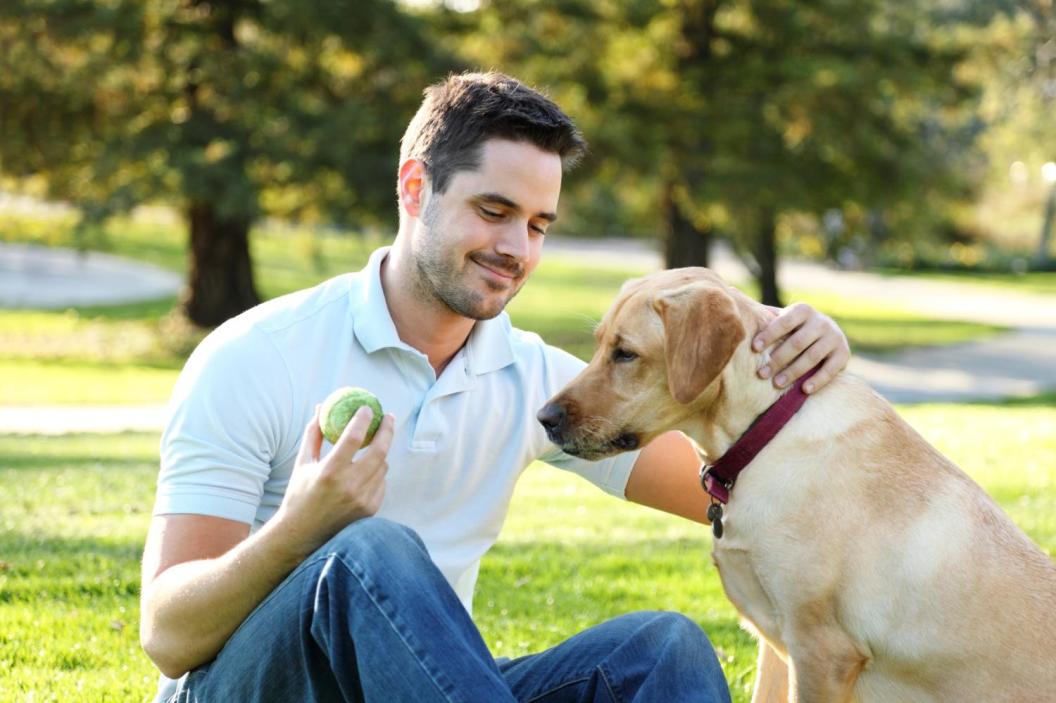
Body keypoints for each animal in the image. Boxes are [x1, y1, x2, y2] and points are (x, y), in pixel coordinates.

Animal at [536, 266, 1056, 696]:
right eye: (599, 344)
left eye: (626, 354)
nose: (544, 418)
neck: (764, 435)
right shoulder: (778, 644)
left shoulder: (821, 650)